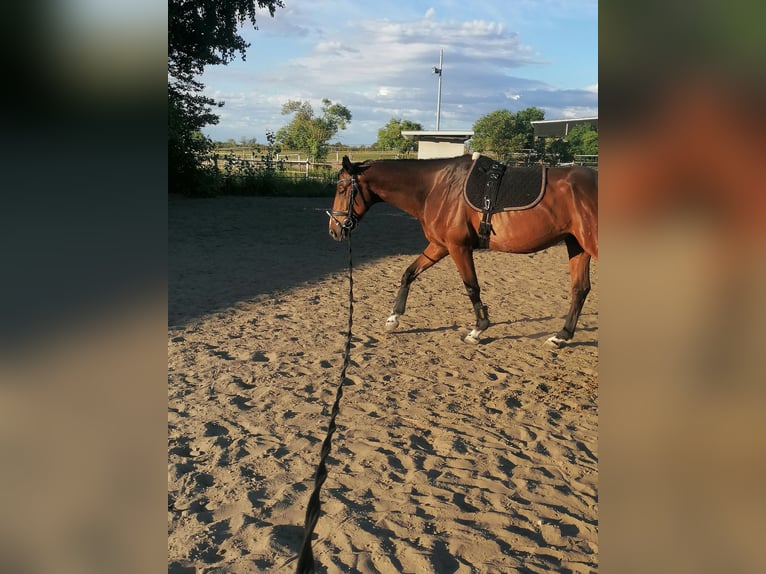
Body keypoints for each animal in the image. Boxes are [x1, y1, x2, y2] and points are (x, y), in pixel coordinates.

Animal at [326, 154, 600, 346]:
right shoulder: (439, 246)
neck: (436, 187)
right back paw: (562, 335)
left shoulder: (458, 247)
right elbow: (409, 273)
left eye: (341, 189)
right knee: (580, 289)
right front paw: (394, 318)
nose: (334, 230)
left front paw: (478, 328)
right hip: (577, 245)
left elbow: (471, 287)